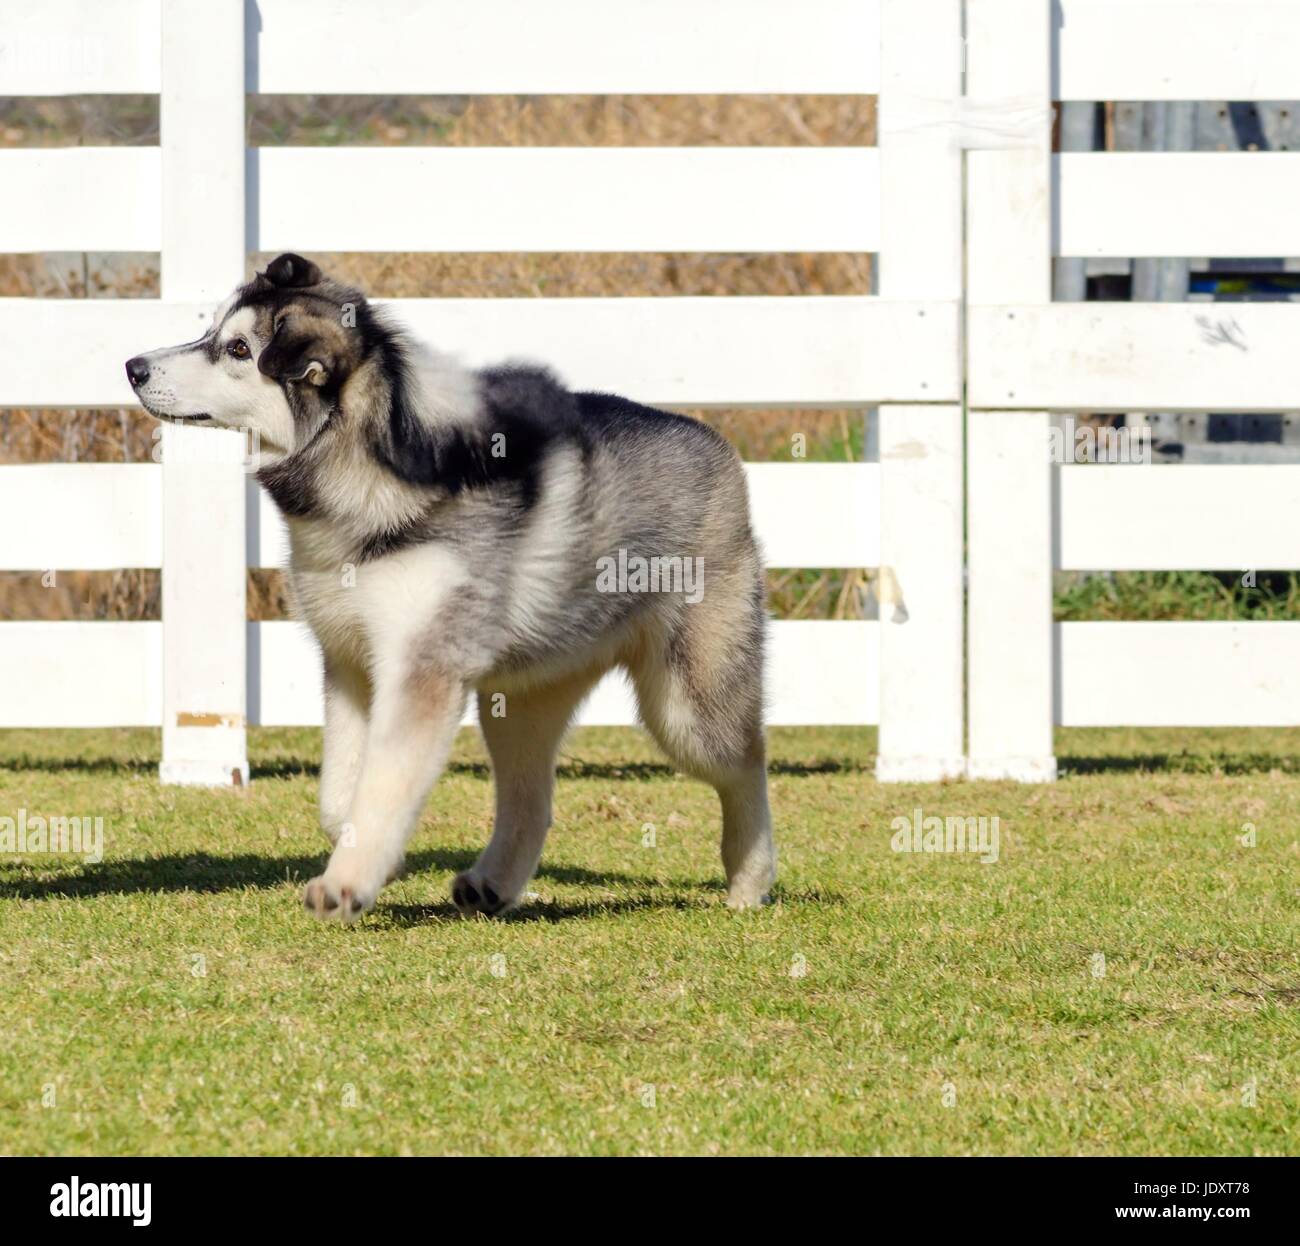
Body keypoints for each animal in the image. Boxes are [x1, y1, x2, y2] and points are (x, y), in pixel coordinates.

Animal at [124, 253, 769, 920]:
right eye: (212, 331)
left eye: (238, 349)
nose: (133, 367)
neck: (364, 472)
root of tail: (716, 442)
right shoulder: (351, 664)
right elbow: (341, 795)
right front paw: (372, 854)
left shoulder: (421, 672)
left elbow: (382, 786)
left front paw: (346, 883)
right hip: (518, 700)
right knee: (532, 799)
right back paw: (495, 882)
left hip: (687, 708)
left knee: (747, 763)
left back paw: (750, 880)